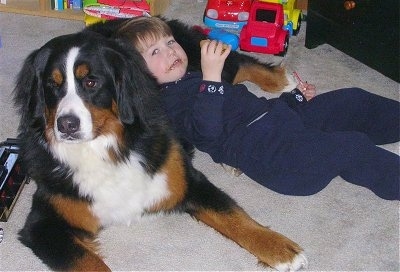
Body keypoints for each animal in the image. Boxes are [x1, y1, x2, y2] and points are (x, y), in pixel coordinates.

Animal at [12, 29, 306, 270]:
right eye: (52, 84)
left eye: (91, 82)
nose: (66, 125)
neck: (106, 149)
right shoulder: (44, 224)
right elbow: (89, 263)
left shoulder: (182, 178)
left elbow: (232, 215)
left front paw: (282, 249)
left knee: (235, 64)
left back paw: (283, 80)